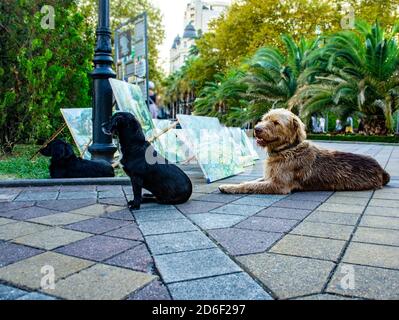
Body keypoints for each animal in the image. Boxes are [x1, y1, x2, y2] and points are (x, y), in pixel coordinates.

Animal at [219, 109, 390, 194]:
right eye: (264, 119)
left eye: (276, 123)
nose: (256, 129)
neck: (288, 149)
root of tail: (381, 169)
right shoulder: (270, 177)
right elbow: (252, 181)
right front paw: (233, 184)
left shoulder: (278, 185)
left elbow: (251, 186)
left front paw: (230, 187)